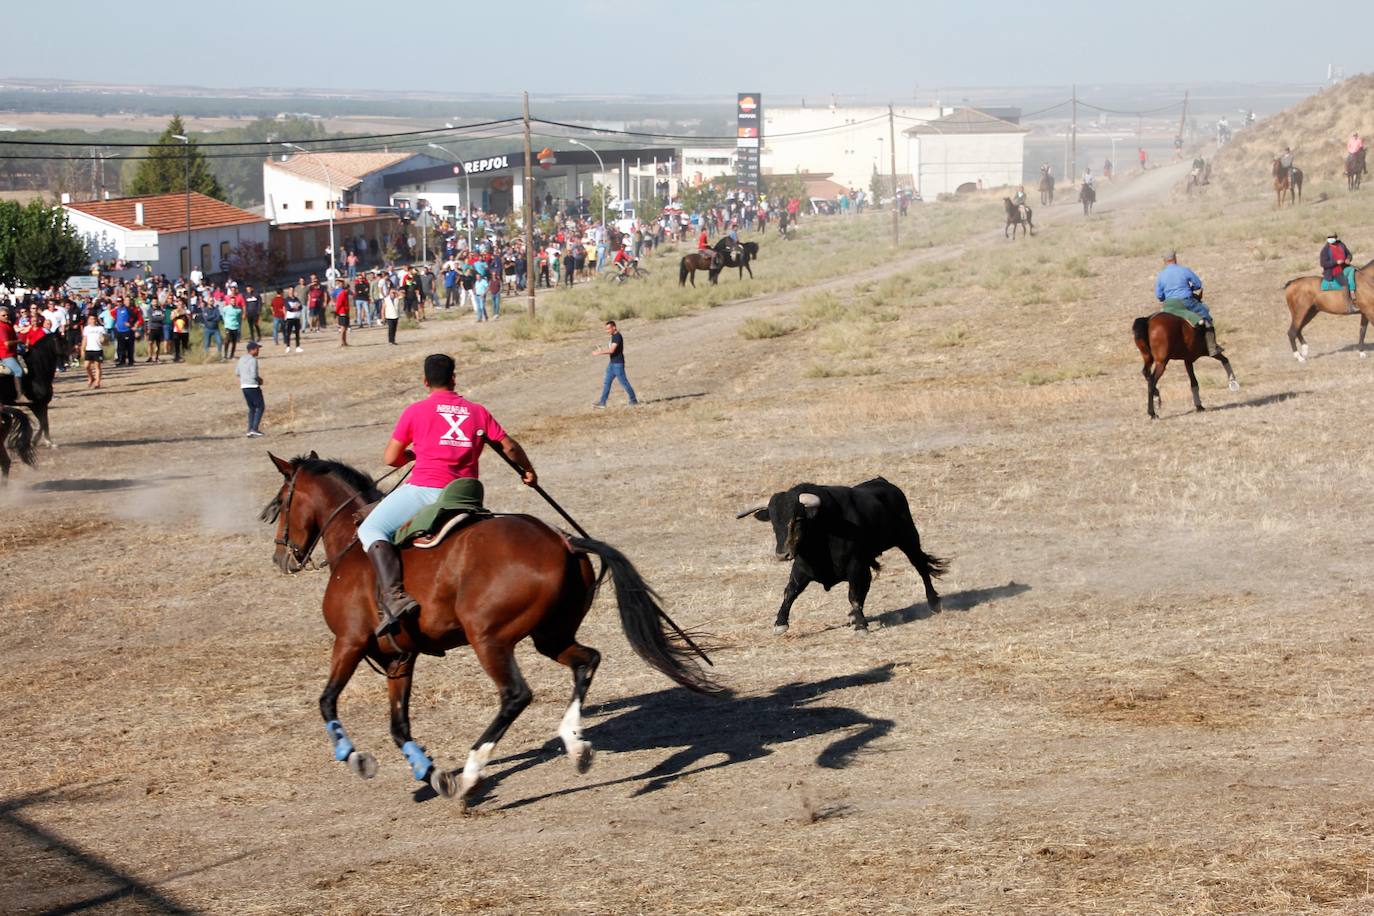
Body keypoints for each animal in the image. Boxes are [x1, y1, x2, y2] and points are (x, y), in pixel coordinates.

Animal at [261, 455, 725, 807]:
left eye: (282, 500)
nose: (281, 558)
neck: (352, 544)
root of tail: (563, 540)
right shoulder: (399, 658)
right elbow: (399, 727)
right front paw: (428, 771)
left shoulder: (350, 642)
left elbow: (327, 702)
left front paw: (354, 757)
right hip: (550, 636)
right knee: (587, 660)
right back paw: (575, 745)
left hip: (488, 638)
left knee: (516, 695)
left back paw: (471, 775)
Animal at [741, 477, 945, 634]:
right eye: (773, 522)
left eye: (798, 519)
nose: (782, 554)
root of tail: (884, 482)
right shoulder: (801, 567)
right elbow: (790, 591)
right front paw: (780, 623)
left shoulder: (855, 565)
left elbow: (853, 594)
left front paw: (861, 626)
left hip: (908, 539)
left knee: (921, 567)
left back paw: (934, 602)